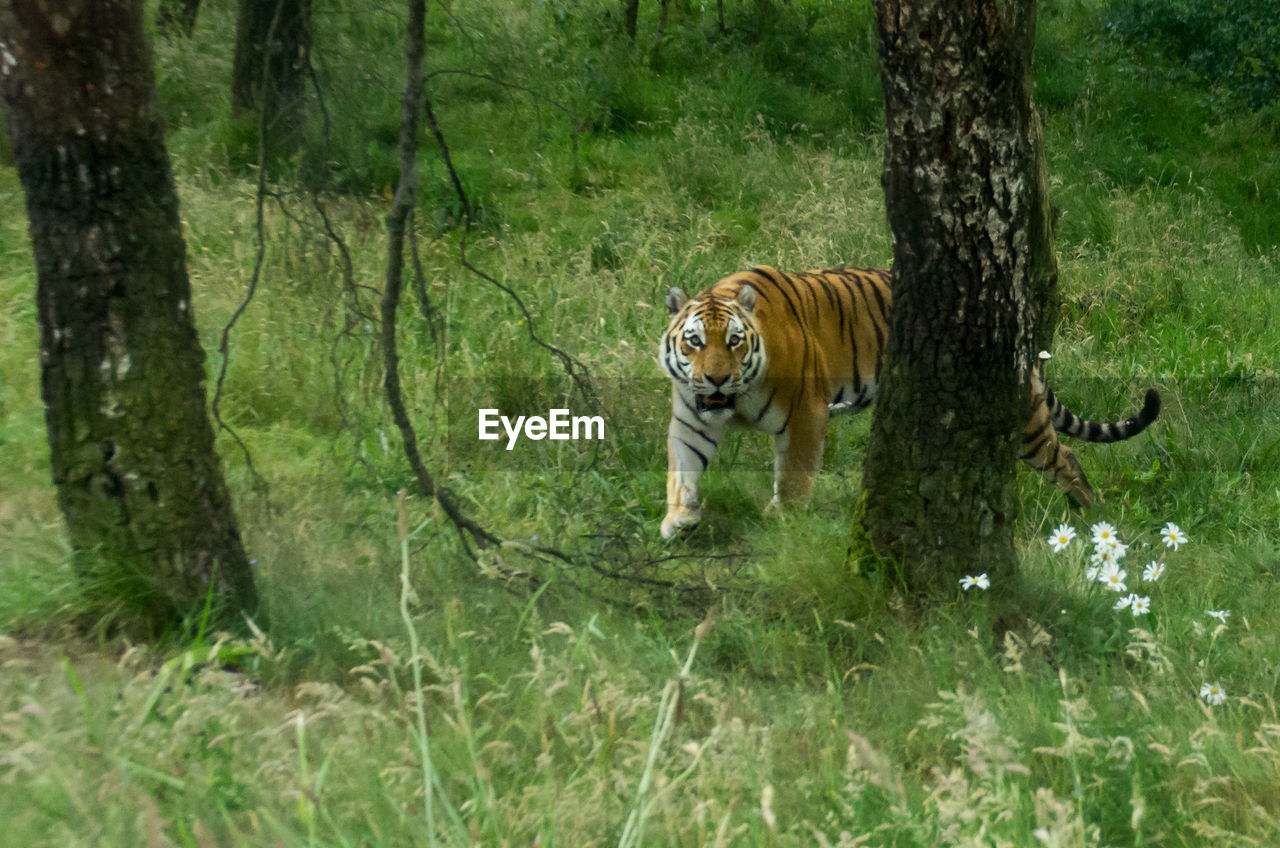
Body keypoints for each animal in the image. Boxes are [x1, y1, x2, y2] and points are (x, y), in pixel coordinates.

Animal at [660, 263, 1162, 538]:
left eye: (735, 341)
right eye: (695, 342)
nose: (716, 378)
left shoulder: (805, 414)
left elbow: (796, 477)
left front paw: (784, 520)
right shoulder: (690, 420)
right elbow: (681, 469)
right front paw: (679, 519)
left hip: (1025, 424)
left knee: (1067, 458)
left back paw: (1091, 515)